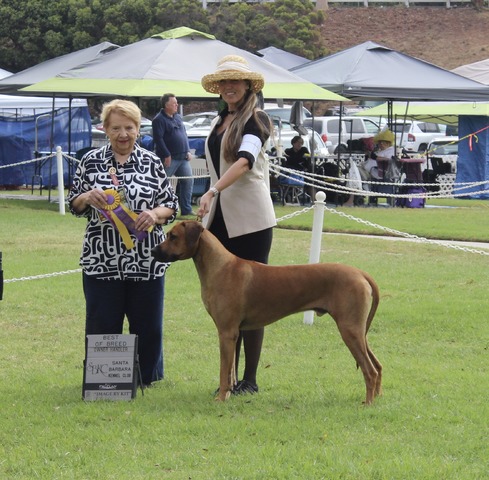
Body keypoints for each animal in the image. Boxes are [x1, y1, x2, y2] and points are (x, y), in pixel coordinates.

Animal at [152, 221, 382, 404]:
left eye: (173, 236)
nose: (153, 251)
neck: (220, 266)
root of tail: (360, 273)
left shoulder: (226, 332)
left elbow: (223, 371)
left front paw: (220, 399)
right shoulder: (233, 333)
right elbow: (230, 370)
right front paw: (227, 395)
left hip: (349, 330)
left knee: (369, 370)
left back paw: (368, 403)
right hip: (358, 331)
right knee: (378, 366)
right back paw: (377, 397)